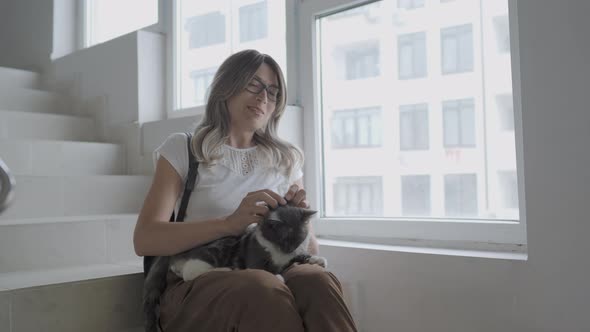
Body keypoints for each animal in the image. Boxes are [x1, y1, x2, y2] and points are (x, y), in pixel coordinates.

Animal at [143, 205, 328, 332]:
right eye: (284, 239)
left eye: (299, 238)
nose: (290, 249)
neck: (279, 254)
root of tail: (173, 253)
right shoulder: (255, 256)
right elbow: (264, 269)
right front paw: (278, 276)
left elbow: (301, 256)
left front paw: (317, 259)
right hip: (213, 251)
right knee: (190, 273)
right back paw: (227, 269)